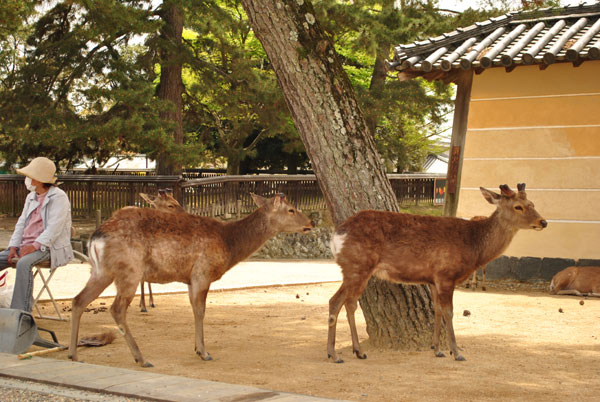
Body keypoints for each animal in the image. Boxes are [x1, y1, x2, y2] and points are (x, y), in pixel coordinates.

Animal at [69, 193, 314, 366]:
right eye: (291, 209)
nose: (311, 222)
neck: (229, 245)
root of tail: (95, 237)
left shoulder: (189, 279)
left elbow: (194, 310)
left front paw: (198, 349)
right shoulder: (202, 273)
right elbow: (201, 311)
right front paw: (204, 352)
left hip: (100, 271)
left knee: (78, 300)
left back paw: (73, 354)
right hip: (129, 271)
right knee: (116, 308)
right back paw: (141, 358)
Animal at [326, 184, 548, 362]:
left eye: (532, 202)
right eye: (518, 206)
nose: (543, 222)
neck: (474, 247)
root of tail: (336, 235)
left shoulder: (433, 280)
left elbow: (437, 310)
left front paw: (437, 350)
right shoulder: (445, 274)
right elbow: (449, 312)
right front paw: (456, 352)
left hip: (352, 269)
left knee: (338, 301)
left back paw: (343, 352)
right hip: (358, 266)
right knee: (344, 302)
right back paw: (344, 353)